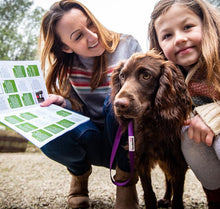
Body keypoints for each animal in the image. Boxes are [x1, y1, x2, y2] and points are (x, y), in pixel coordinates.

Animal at [111, 50, 192, 209]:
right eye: (122, 76)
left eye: (146, 75)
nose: (119, 104)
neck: (152, 124)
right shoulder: (140, 159)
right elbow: (148, 192)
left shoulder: (178, 161)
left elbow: (178, 196)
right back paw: (166, 199)